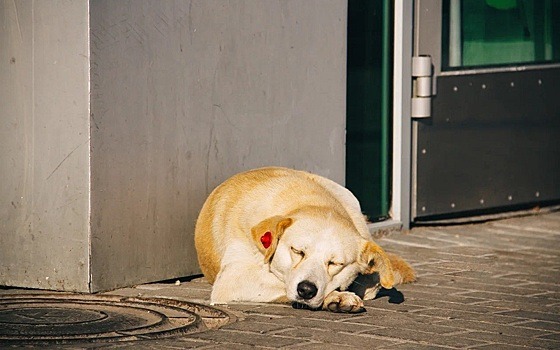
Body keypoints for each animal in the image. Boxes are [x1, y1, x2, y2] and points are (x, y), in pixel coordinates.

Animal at [195, 167, 414, 312]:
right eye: (297, 251)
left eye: (335, 263)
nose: (306, 290)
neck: (309, 200)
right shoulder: (234, 279)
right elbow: (283, 284)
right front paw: (336, 296)